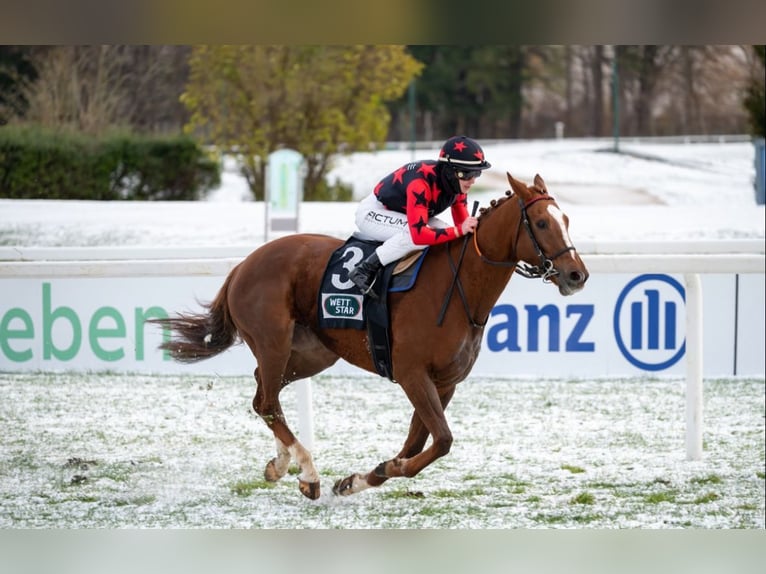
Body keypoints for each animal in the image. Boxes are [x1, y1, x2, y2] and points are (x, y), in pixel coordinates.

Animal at [153, 173, 592, 502]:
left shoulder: (444, 382)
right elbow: (442, 440)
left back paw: (282, 465)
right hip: (273, 341)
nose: (577, 275)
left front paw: (359, 479)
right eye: (541, 223)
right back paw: (308, 471)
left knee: (266, 393)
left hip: (311, 354)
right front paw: (379, 470)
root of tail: (244, 264)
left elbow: (419, 443)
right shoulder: (413, 373)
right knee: (266, 400)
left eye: (567, 220)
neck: (458, 286)